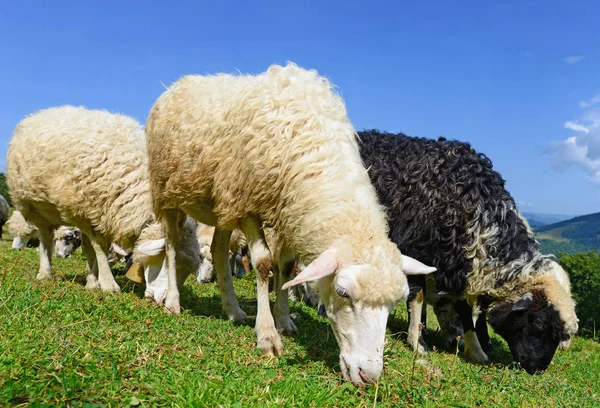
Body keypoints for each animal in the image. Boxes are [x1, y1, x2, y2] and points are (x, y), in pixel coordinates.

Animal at [5, 105, 200, 296]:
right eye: (168, 263)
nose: (164, 300)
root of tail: (38, 114)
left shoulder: (101, 214)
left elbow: (95, 251)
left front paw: (93, 282)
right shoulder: (91, 211)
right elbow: (99, 249)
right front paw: (108, 284)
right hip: (36, 209)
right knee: (45, 239)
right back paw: (45, 273)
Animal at [145, 62, 436, 384]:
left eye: (394, 303)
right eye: (343, 293)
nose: (368, 376)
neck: (314, 148)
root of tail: (176, 84)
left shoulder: (286, 209)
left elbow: (285, 269)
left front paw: (284, 320)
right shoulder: (250, 203)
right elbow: (263, 264)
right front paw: (267, 335)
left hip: (224, 201)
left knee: (219, 250)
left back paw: (233, 310)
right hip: (168, 193)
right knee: (172, 247)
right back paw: (173, 301)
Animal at [356, 130, 576, 372]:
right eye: (538, 325)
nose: (537, 369)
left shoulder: (463, 267)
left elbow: (464, 310)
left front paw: (476, 350)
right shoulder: (415, 251)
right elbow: (418, 297)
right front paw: (418, 343)